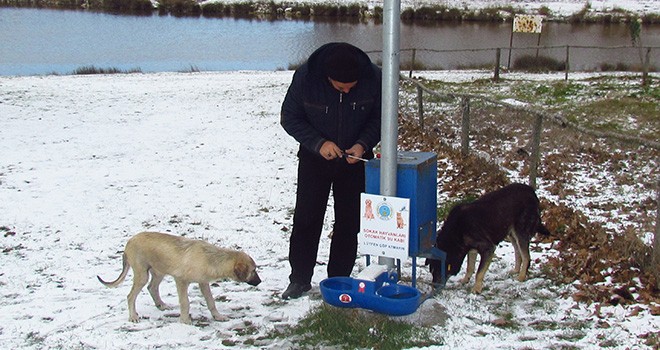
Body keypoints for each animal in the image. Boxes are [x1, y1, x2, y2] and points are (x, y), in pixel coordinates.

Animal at [96, 231, 262, 324]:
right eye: (253, 270)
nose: (260, 281)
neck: (212, 258)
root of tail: (129, 242)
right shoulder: (181, 281)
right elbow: (185, 302)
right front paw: (185, 320)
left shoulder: (203, 282)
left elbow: (211, 302)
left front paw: (218, 317)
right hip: (142, 274)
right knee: (131, 296)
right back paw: (133, 317)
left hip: (159, 271)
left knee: (152, 287)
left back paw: (161, 305)